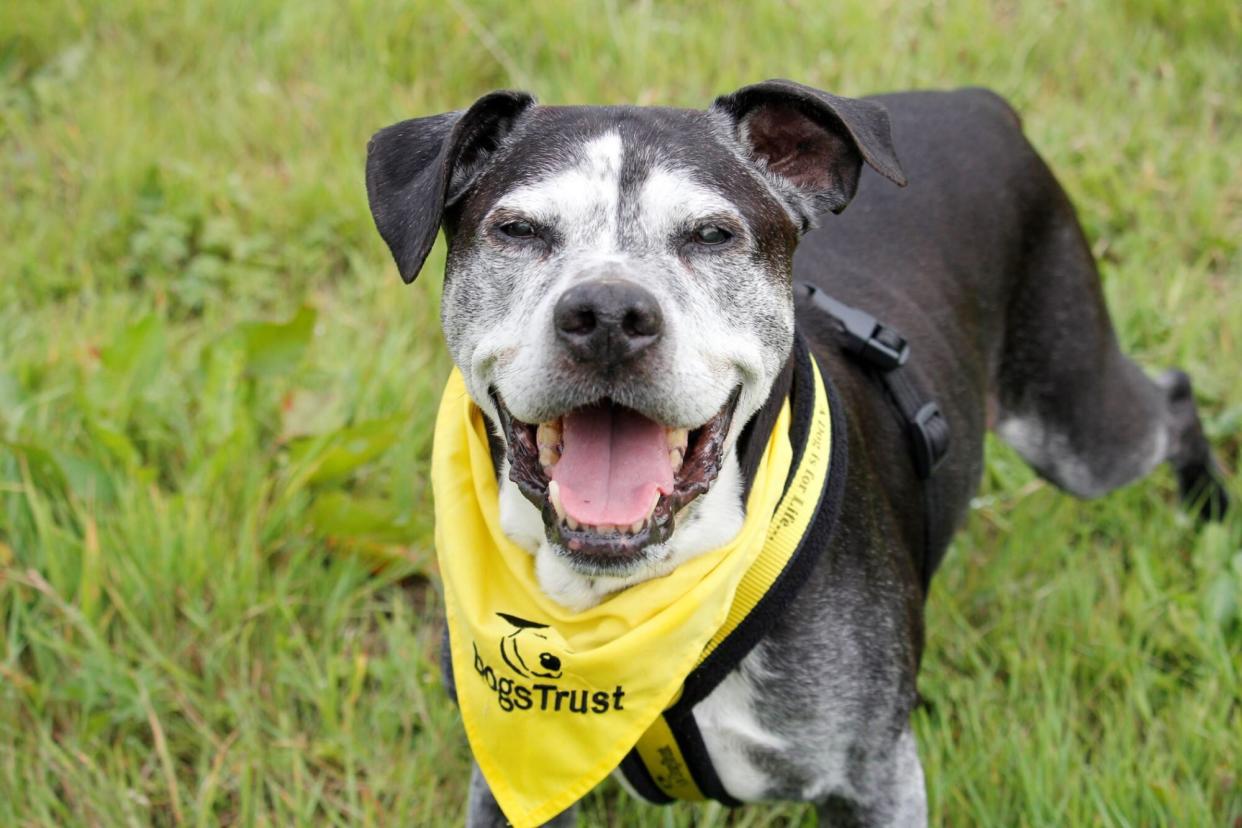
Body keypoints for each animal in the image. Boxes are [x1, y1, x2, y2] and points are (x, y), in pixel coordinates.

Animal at [362, 79, 1227, 828]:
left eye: (712, 234)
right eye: (518, 230)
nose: (608, 314)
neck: (631, 596)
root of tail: (979, 101)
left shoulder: (876, 781)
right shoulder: (508, 774)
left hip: (1077, 423)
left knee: (1175, 397)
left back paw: (1209, 509)